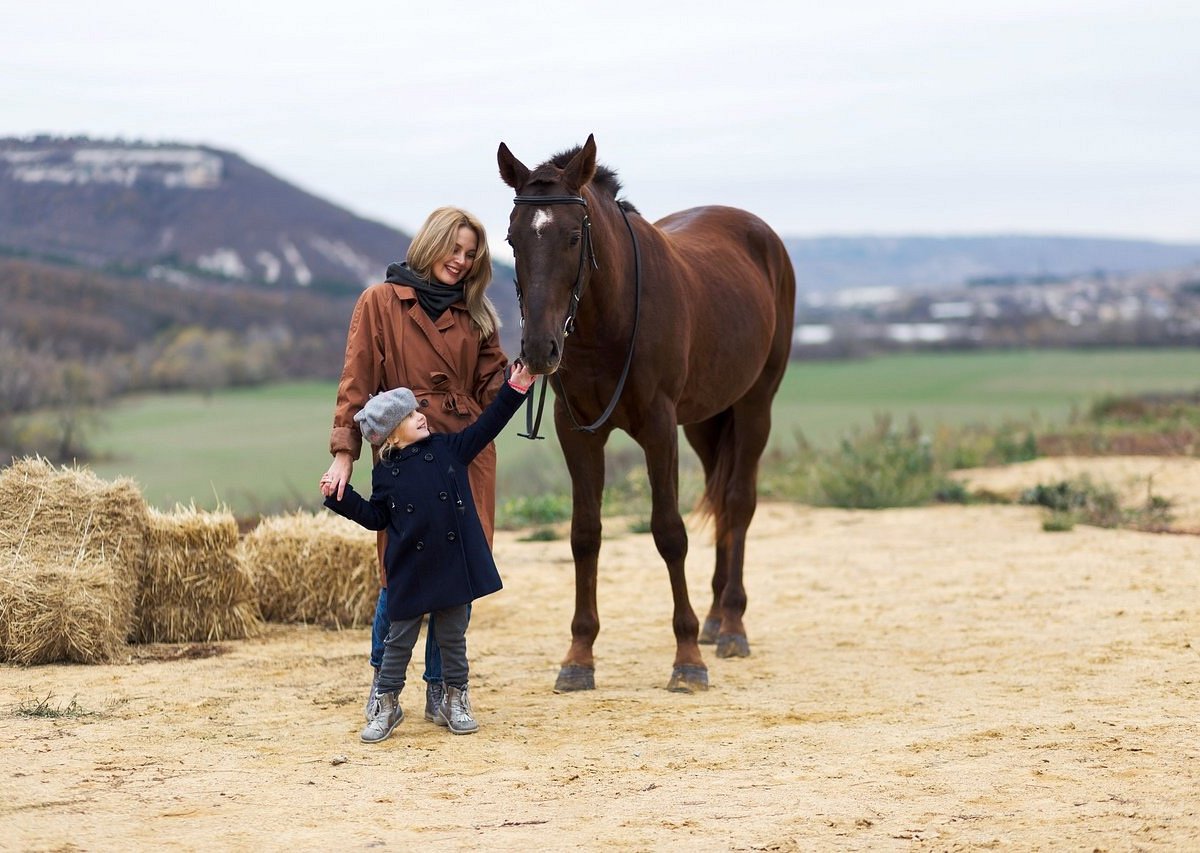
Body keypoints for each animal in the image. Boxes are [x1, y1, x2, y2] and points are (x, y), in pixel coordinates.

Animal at [499, 134, 796, 695]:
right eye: (512, 239)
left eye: (574, 237)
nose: (539, 350)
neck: (607, 319)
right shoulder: (577, 432)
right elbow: (584, 535)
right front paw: (579, 656)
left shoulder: (659, 429)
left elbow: (669, 533)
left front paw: (687, 658)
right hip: (704, 421)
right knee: (721, 499)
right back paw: (717, 619)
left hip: (755, 406)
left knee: (738, 502)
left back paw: (731, 625)